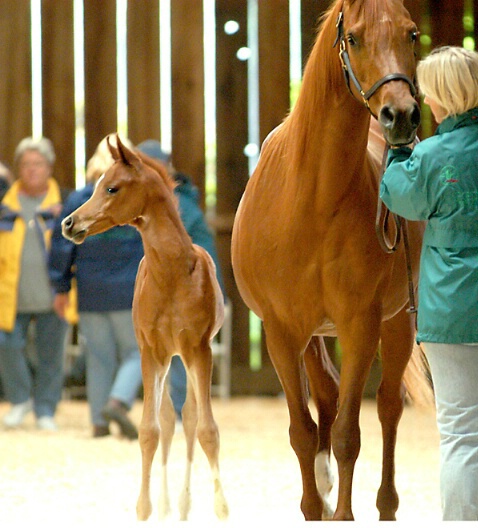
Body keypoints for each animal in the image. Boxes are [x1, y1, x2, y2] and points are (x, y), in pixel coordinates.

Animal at [62, 135, 229, 520]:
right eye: (95, 185)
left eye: (112, 187)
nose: (69, 223)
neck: (170, 274)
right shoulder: (150, 351)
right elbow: (149, 430)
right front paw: (145, 507)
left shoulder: (200, 349)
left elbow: (207, 429)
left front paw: (221, 507)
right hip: (167, 359)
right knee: (168, 418)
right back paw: (169, 505)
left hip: (185, 357)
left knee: (189, 416)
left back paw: (183, 504)